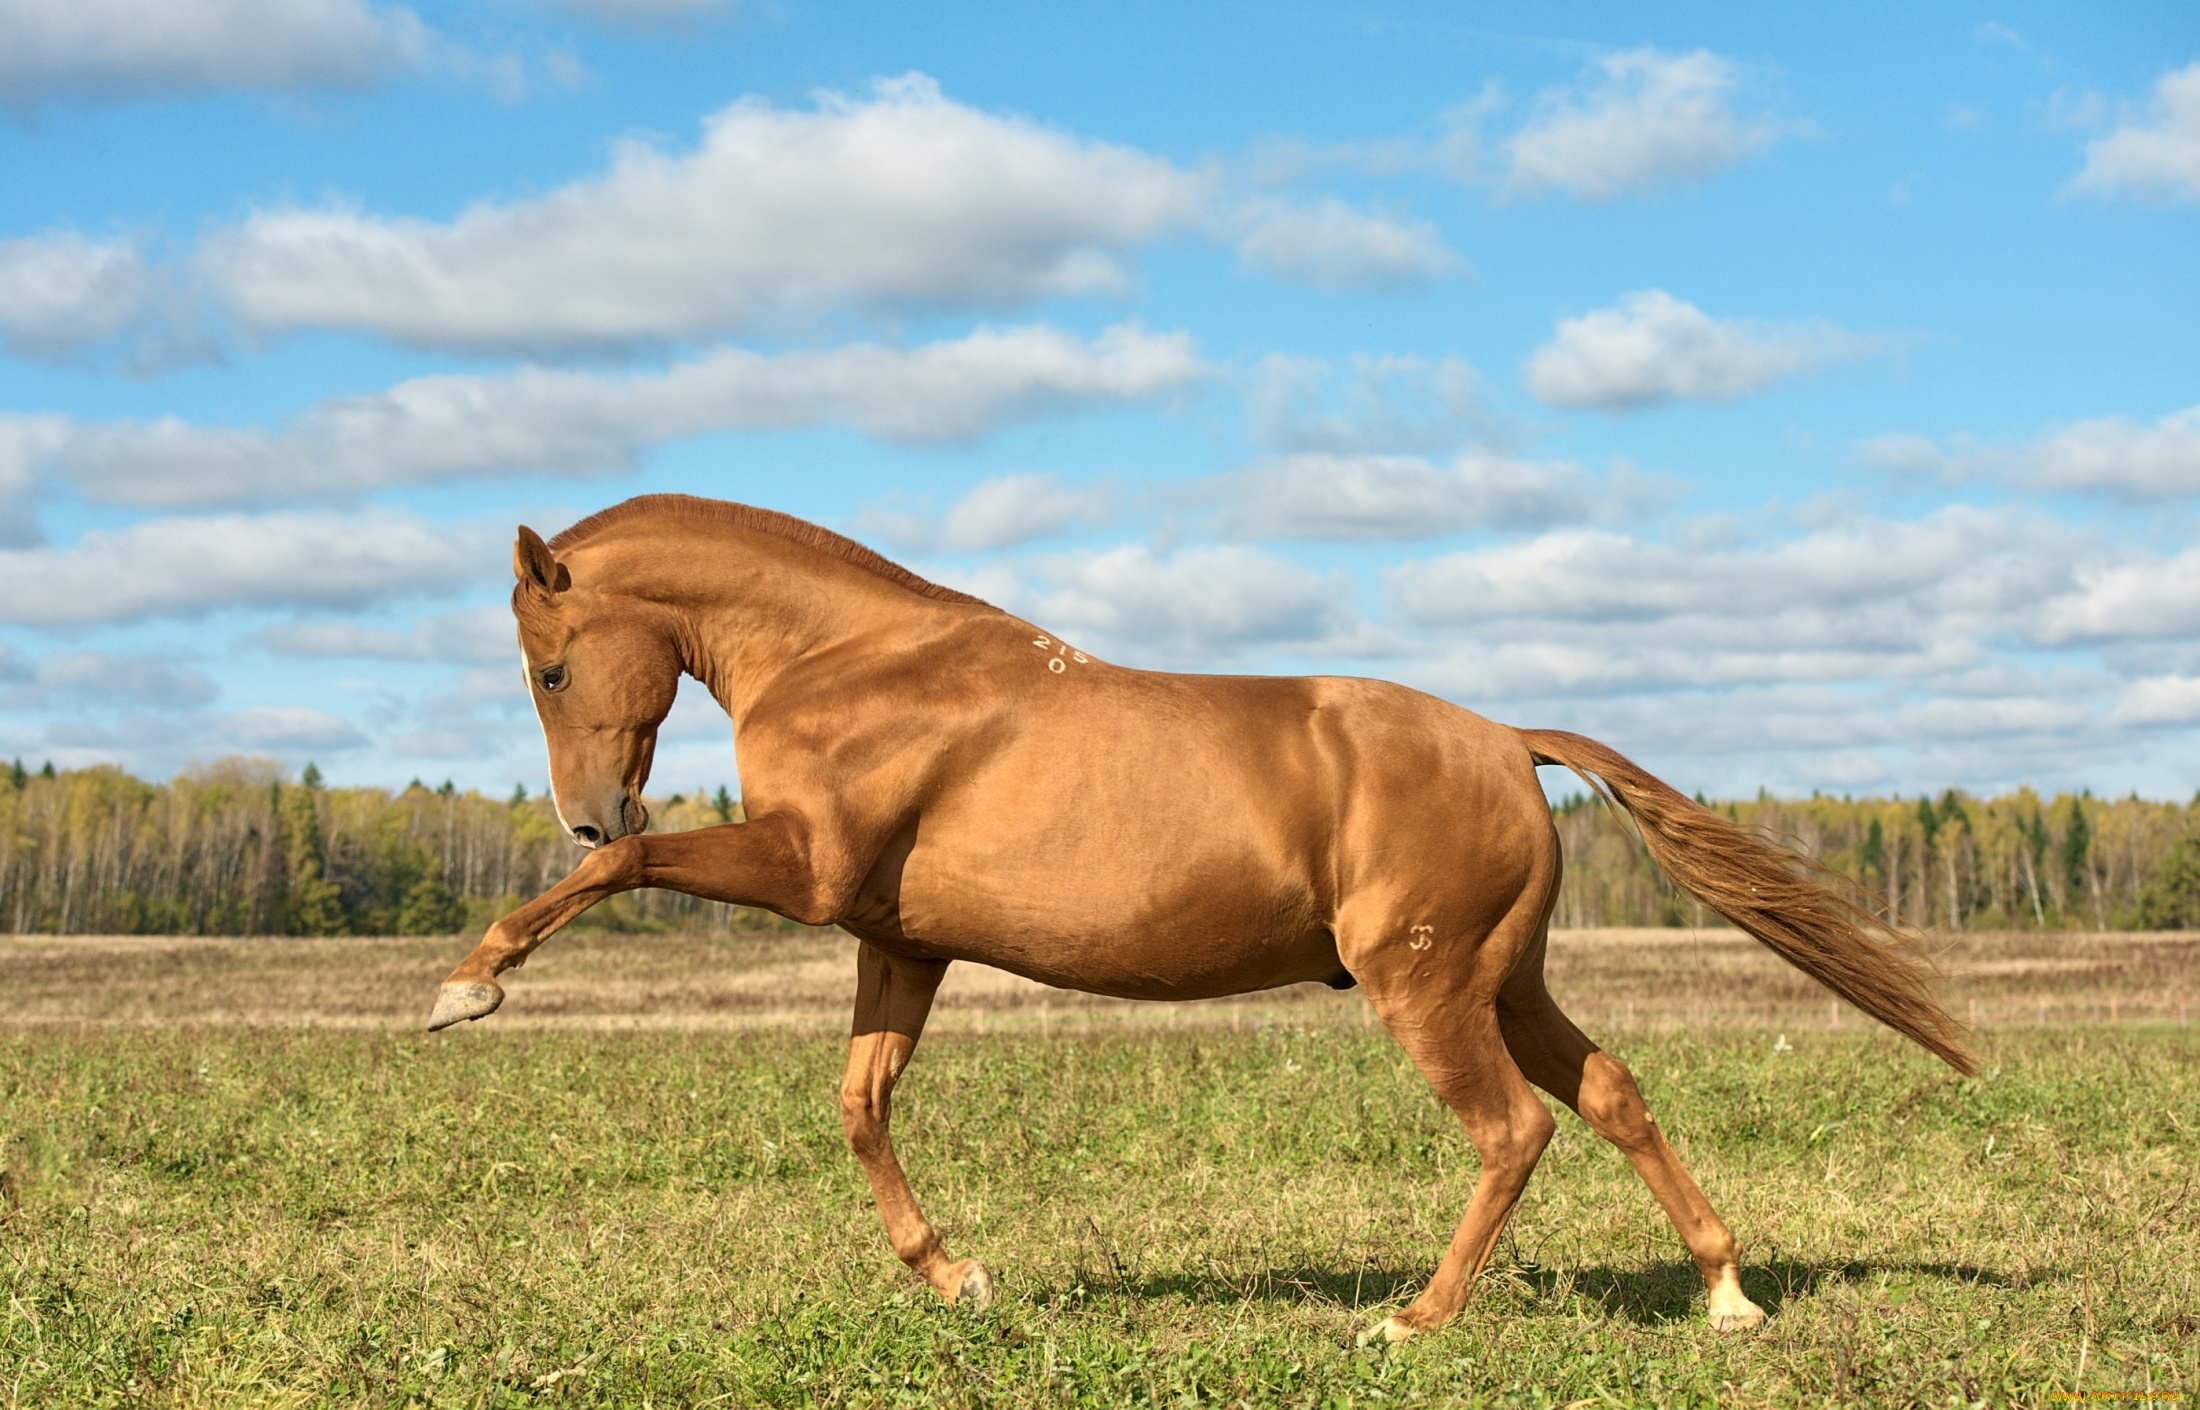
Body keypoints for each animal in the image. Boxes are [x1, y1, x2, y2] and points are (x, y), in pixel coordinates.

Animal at [429, 494, 1980, 1337]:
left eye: (552, 667)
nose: (587, 809)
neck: (857, 664)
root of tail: (1507, 741)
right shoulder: (896, 938)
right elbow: (862, 1105)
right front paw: (958, 1275)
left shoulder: (802, 873)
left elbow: (625, 884)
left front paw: (467, 985)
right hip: (1507, 981)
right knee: (1610, 1093)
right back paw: (1726, 1293)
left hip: (1426, 989)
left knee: (1514, 1130)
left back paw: (1413, 1319)